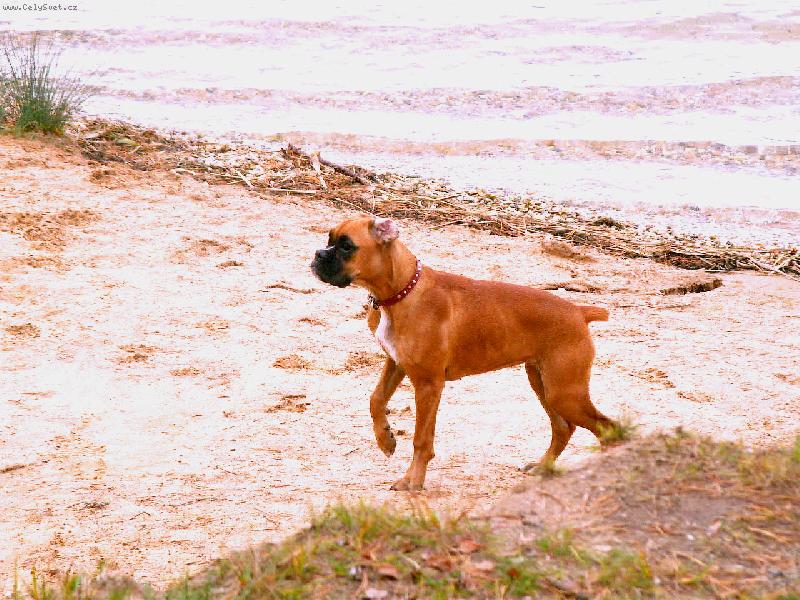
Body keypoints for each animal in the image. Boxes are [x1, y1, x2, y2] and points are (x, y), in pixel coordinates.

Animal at [311, 215, 616, 491]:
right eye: (329, 239)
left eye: (346, 246)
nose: (317, 254)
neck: (402, 292)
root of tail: (579, 312)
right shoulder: (396, 363)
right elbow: (376, 400)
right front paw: (385, 439)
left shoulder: (428, 385)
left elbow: (421, 439)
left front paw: (412, 481)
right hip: (543, 383)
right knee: (564, 428)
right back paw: (542, 467)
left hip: (564, 392)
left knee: (605, 427)